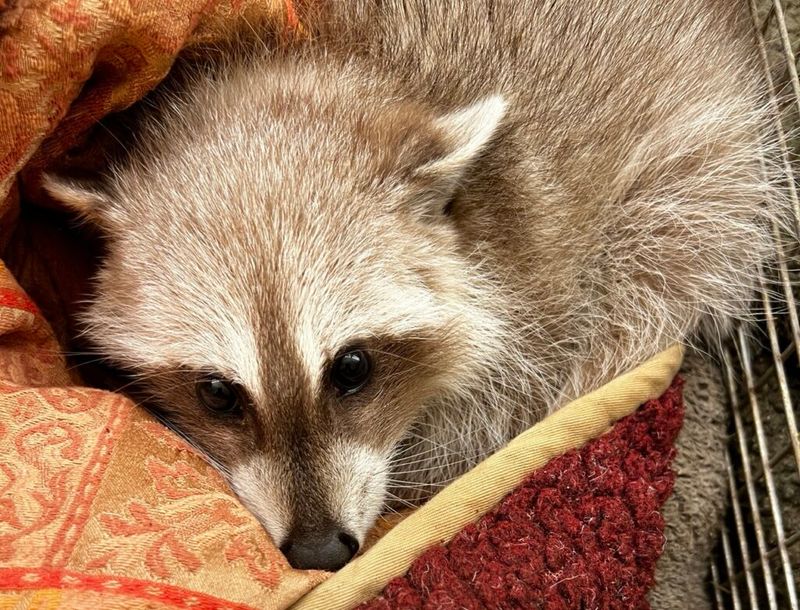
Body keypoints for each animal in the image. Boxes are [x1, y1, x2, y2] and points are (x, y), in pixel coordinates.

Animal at [44, 0, 786, 582]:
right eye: (218, 393)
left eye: (352, 368)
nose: (319, 553)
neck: (358, 71)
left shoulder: (542, 296)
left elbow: (492, 418)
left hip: (701, 182)